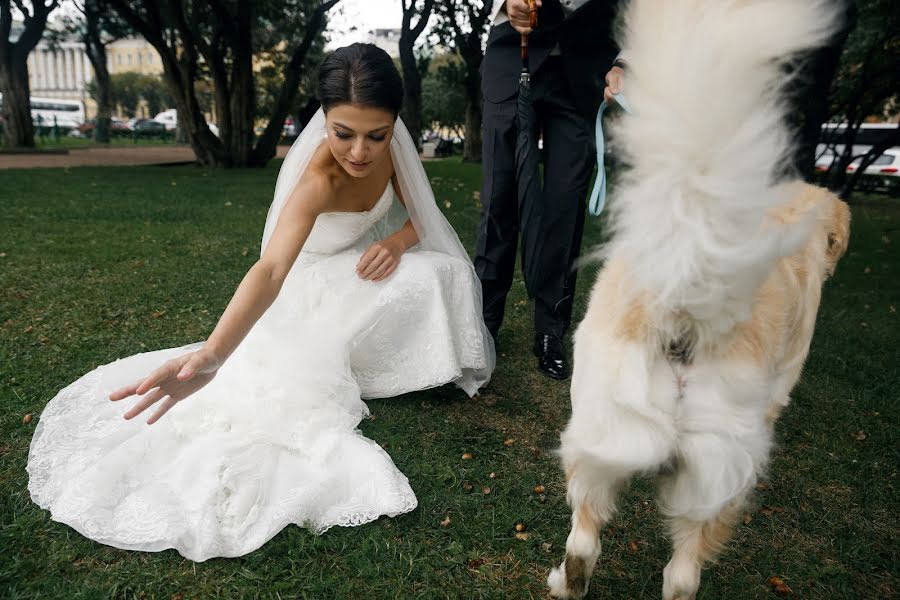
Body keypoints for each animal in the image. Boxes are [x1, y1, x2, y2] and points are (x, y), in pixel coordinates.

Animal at [548, 1, 852, 600]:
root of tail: (688, 300)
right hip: (717, 476)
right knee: (676, 568)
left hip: (600, 436)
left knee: (592, 545)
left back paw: (567, 581)